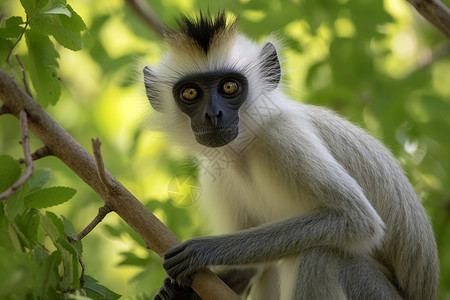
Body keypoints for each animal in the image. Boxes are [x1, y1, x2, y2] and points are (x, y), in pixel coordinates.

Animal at [144, 11, 440, 300]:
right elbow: (252, 268)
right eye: (190, 93)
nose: (213, 114)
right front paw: (179, 292)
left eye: (229, 87)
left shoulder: (281, 137)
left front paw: (200, 251)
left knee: (320, 254)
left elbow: (357, 219)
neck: (246, 148)